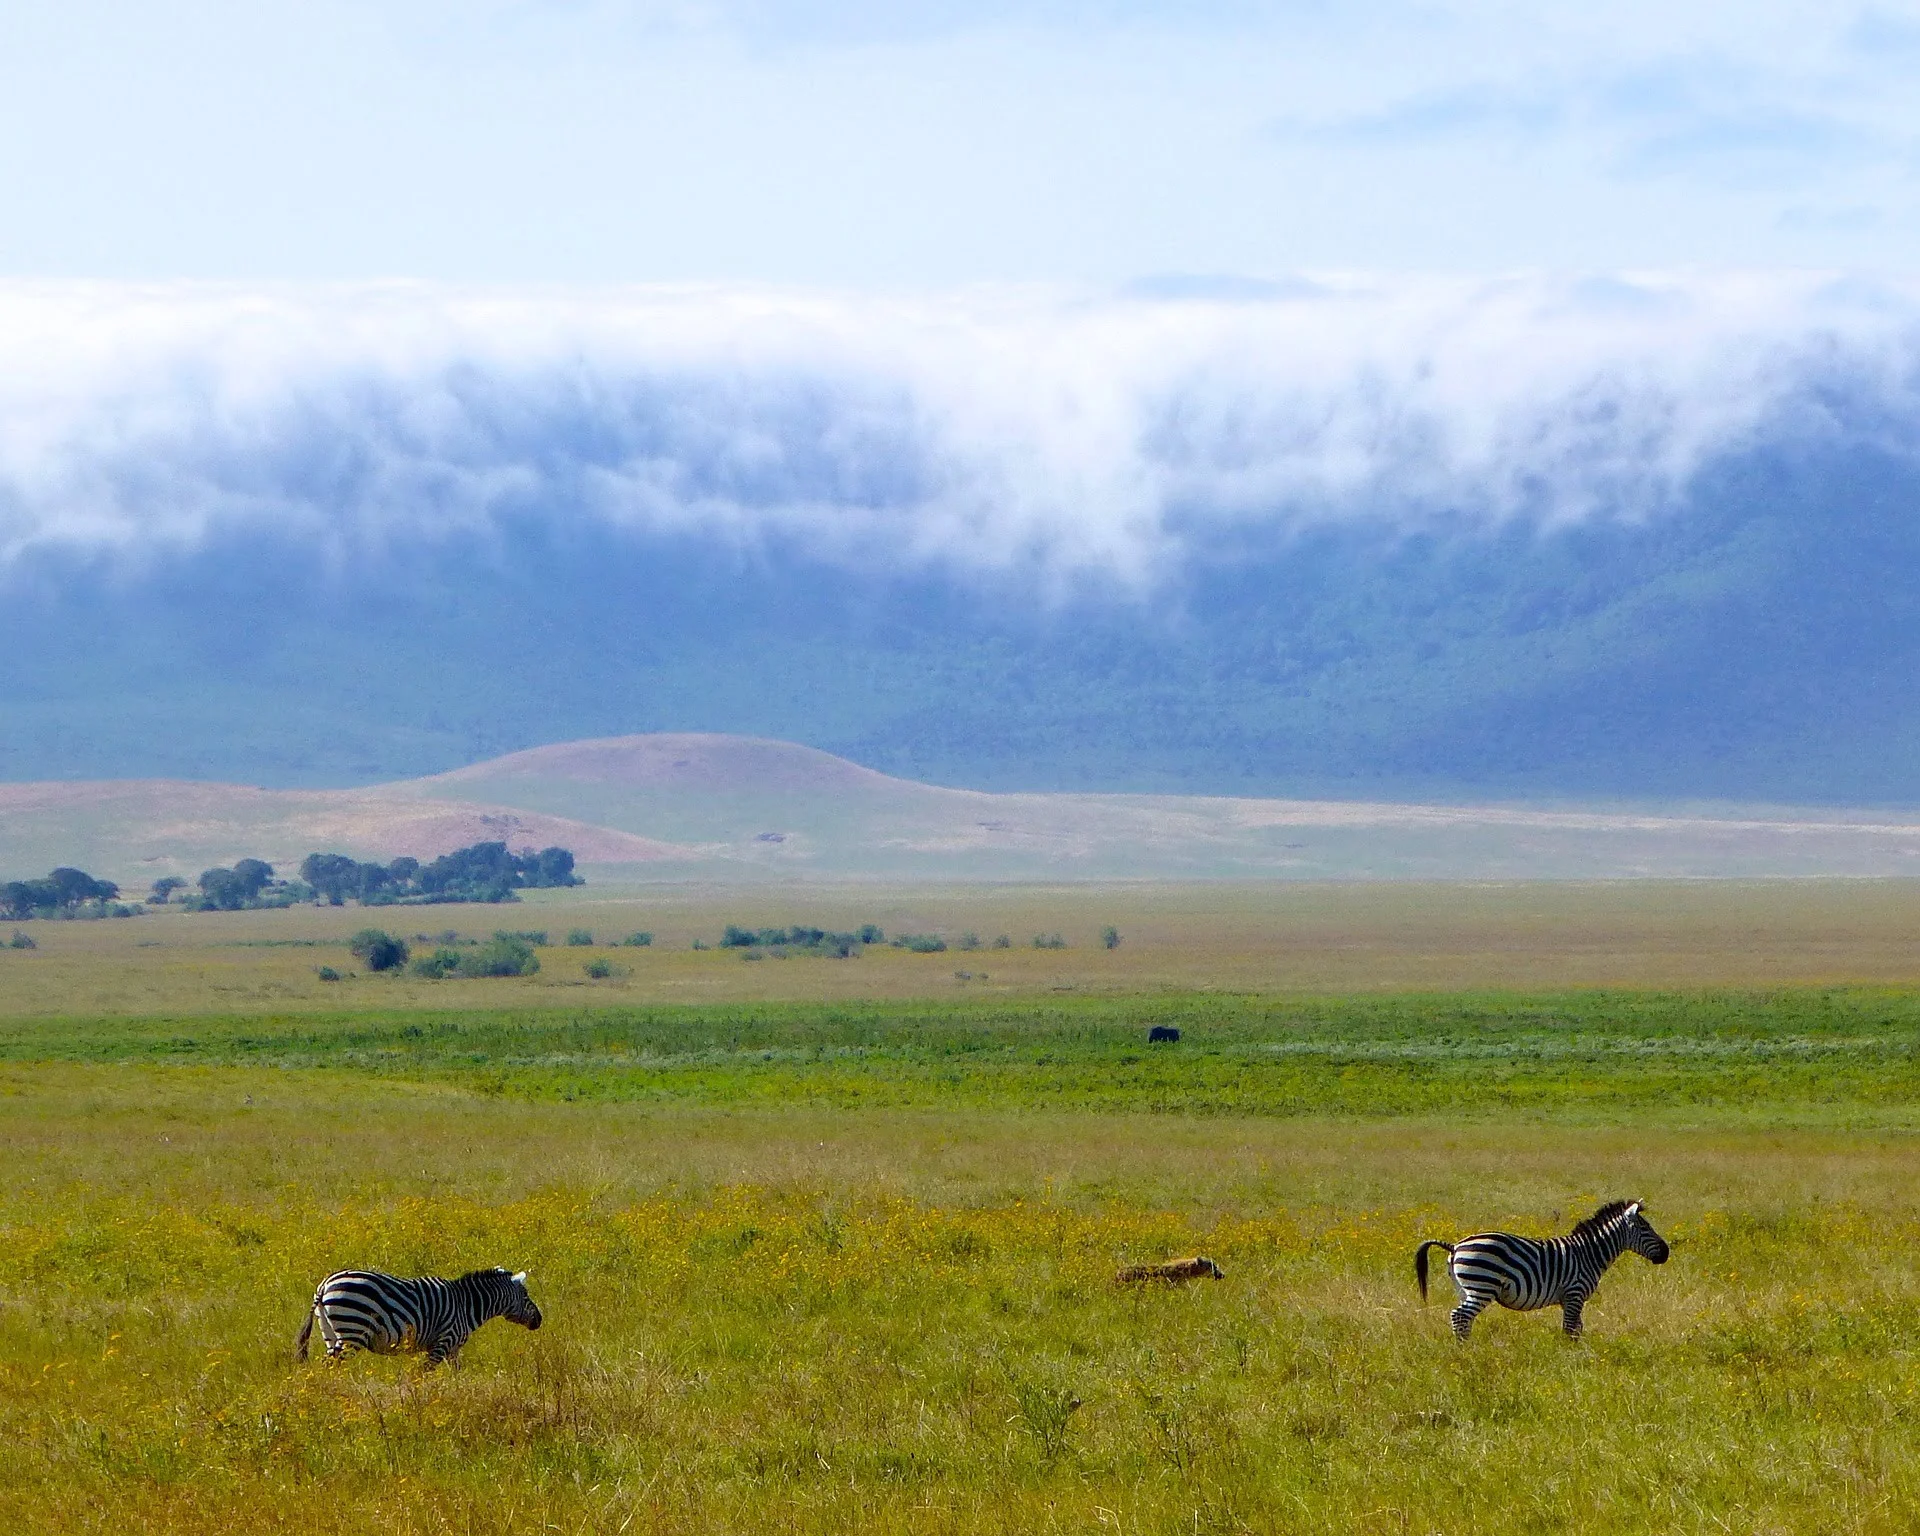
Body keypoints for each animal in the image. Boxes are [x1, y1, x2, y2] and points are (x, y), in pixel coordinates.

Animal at [295, 1267, 542, 1368]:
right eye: (526, 1296)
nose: (539, 1320)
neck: (466, 1305)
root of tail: (325, 1285)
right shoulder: (444, 1341)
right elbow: (423, 1373)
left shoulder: (452, 1349)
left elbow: (457, 1373)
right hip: (352, 1329)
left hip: (331, 1333)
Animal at [1415, 1200, 1670, 1340]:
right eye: (1645, 1228)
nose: (1666, 1253)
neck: (1589, 1254)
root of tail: (1455, 1245)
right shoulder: (1575, 1294)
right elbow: (1570, 1329)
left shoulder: (1570, 1299)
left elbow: (1577, 1328)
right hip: (1482, 1286)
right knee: (1460, 1316)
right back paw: (1465, 1350)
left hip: (1465, 1289)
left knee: (1462, 1319)